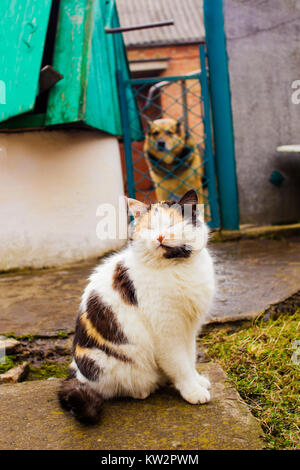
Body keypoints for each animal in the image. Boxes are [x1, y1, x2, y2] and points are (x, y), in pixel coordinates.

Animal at [57, 189, 214, 424]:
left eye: (171, 225)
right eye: (149, 228)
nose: (159, 237)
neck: (177, 267)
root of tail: (77, 372)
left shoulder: (190, 329)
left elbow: (190, 357)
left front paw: (197, 380)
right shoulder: (167, 332)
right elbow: (180, 364)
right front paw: (192, 390)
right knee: (114, 389)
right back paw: (144, 389)